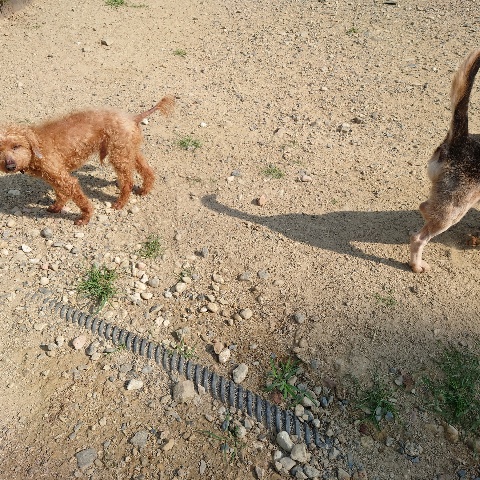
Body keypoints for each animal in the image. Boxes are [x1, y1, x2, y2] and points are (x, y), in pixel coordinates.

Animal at [0, 96, 174, 225]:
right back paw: (144, 190)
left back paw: (120, 203)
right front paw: (56, 207)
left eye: (16, 146)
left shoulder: (64, 179)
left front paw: (85, 217)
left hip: (119, 155)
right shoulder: (54, 177)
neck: (36, 147)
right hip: (128, 150)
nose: (10, 166)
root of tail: (132, 117)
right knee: (147, 170)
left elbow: (80, 199)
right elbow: (60, 194)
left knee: (128, 182)